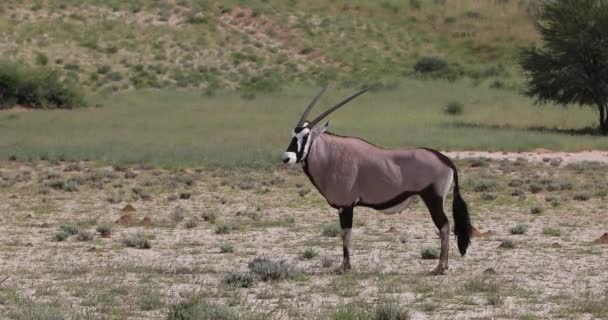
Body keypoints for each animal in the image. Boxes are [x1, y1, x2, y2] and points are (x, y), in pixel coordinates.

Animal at [282, 87, 472, 276]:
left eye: (306, 136)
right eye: (292, 134)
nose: (286, 158)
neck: (331, 155)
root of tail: (445, 159)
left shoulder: (346, 206)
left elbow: (345, 234)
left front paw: (344, 266)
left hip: (433, 199)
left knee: (444, 227)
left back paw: (440, 267)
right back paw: (444, 265)